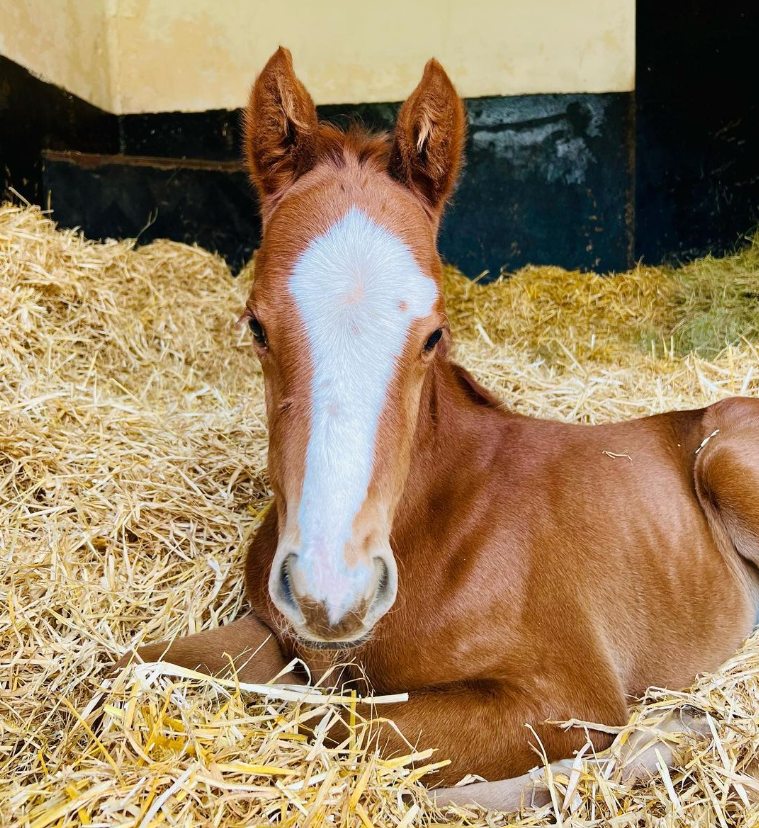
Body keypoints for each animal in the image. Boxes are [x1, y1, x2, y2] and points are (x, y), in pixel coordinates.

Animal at [116, 47, 759, 809]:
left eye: (433, 335)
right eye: (256, 325)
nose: (333, 597)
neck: (438, 520)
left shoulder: (570, 695)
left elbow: (346, 731)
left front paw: (648, 746)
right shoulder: (272, 636)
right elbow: (133, 665)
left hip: (726, 462)